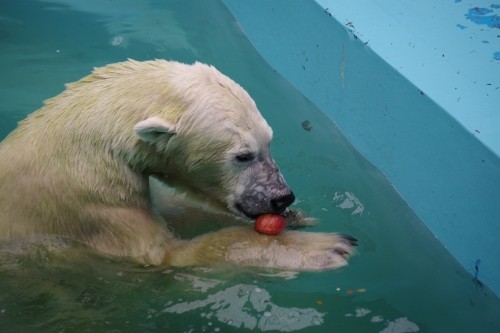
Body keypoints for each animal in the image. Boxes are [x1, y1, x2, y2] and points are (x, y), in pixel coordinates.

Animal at [0, 59, 356, 268]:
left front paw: (299, 217)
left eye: (269, 141)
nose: (282, 197)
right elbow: (169, 253)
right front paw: (330, 246)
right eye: (243, 155)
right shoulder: (93, 207)